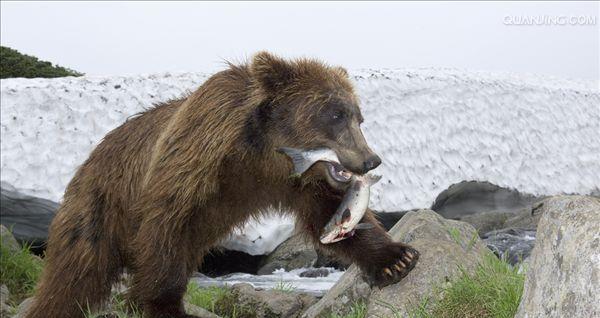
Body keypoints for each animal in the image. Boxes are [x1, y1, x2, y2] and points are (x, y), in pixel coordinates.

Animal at [27, 52, 418, 318]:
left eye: (358, 116)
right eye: (335, 113)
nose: (371, 159)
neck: (261, 156)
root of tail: (91, 156)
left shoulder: (298, 184)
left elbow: (330, 214)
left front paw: (396, 259)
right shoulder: (192, 163)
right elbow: (164, 229)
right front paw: (163, 305)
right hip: (99, 204)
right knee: (77, 271)